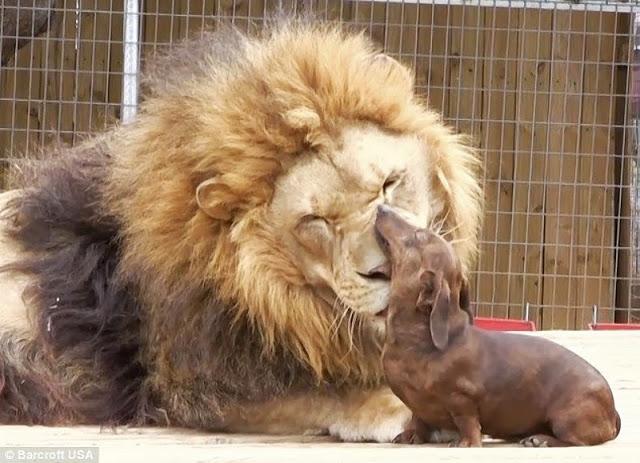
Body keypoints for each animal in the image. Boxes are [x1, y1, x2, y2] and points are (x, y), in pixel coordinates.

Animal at [376, 206, 620, 446]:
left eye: (419, 235)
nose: (382, 207)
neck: (417, 338)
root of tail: (613, 412)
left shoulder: (462, 399)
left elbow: (467, 422)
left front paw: (467, 443)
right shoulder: (418, 407)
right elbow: (418, 420)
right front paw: (411, 436)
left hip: (567, 419)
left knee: (574, 441)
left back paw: (540, 440)